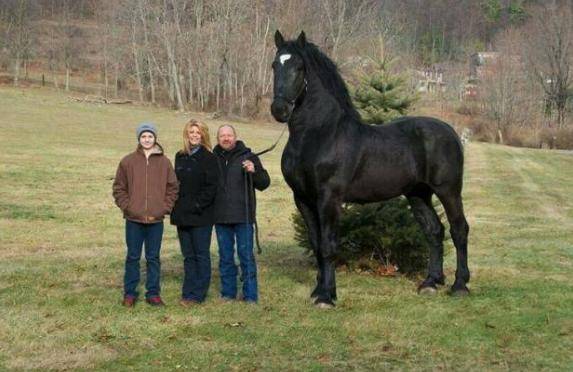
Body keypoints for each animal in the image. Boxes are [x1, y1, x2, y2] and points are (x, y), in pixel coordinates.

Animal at [272, 29, 470, 308]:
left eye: (299, 67)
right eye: (274, 65)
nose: (279, 109)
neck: (319, 135)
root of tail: (451, 131)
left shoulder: (329, 198)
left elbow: (328, 245)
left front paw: (327, 297)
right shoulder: (302, 199)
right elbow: (316, 244)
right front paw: (319, 290)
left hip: (448, 190)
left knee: (459, 229)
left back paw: (460, 285)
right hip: (418, 194)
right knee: (434, 231)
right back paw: (430, 283)